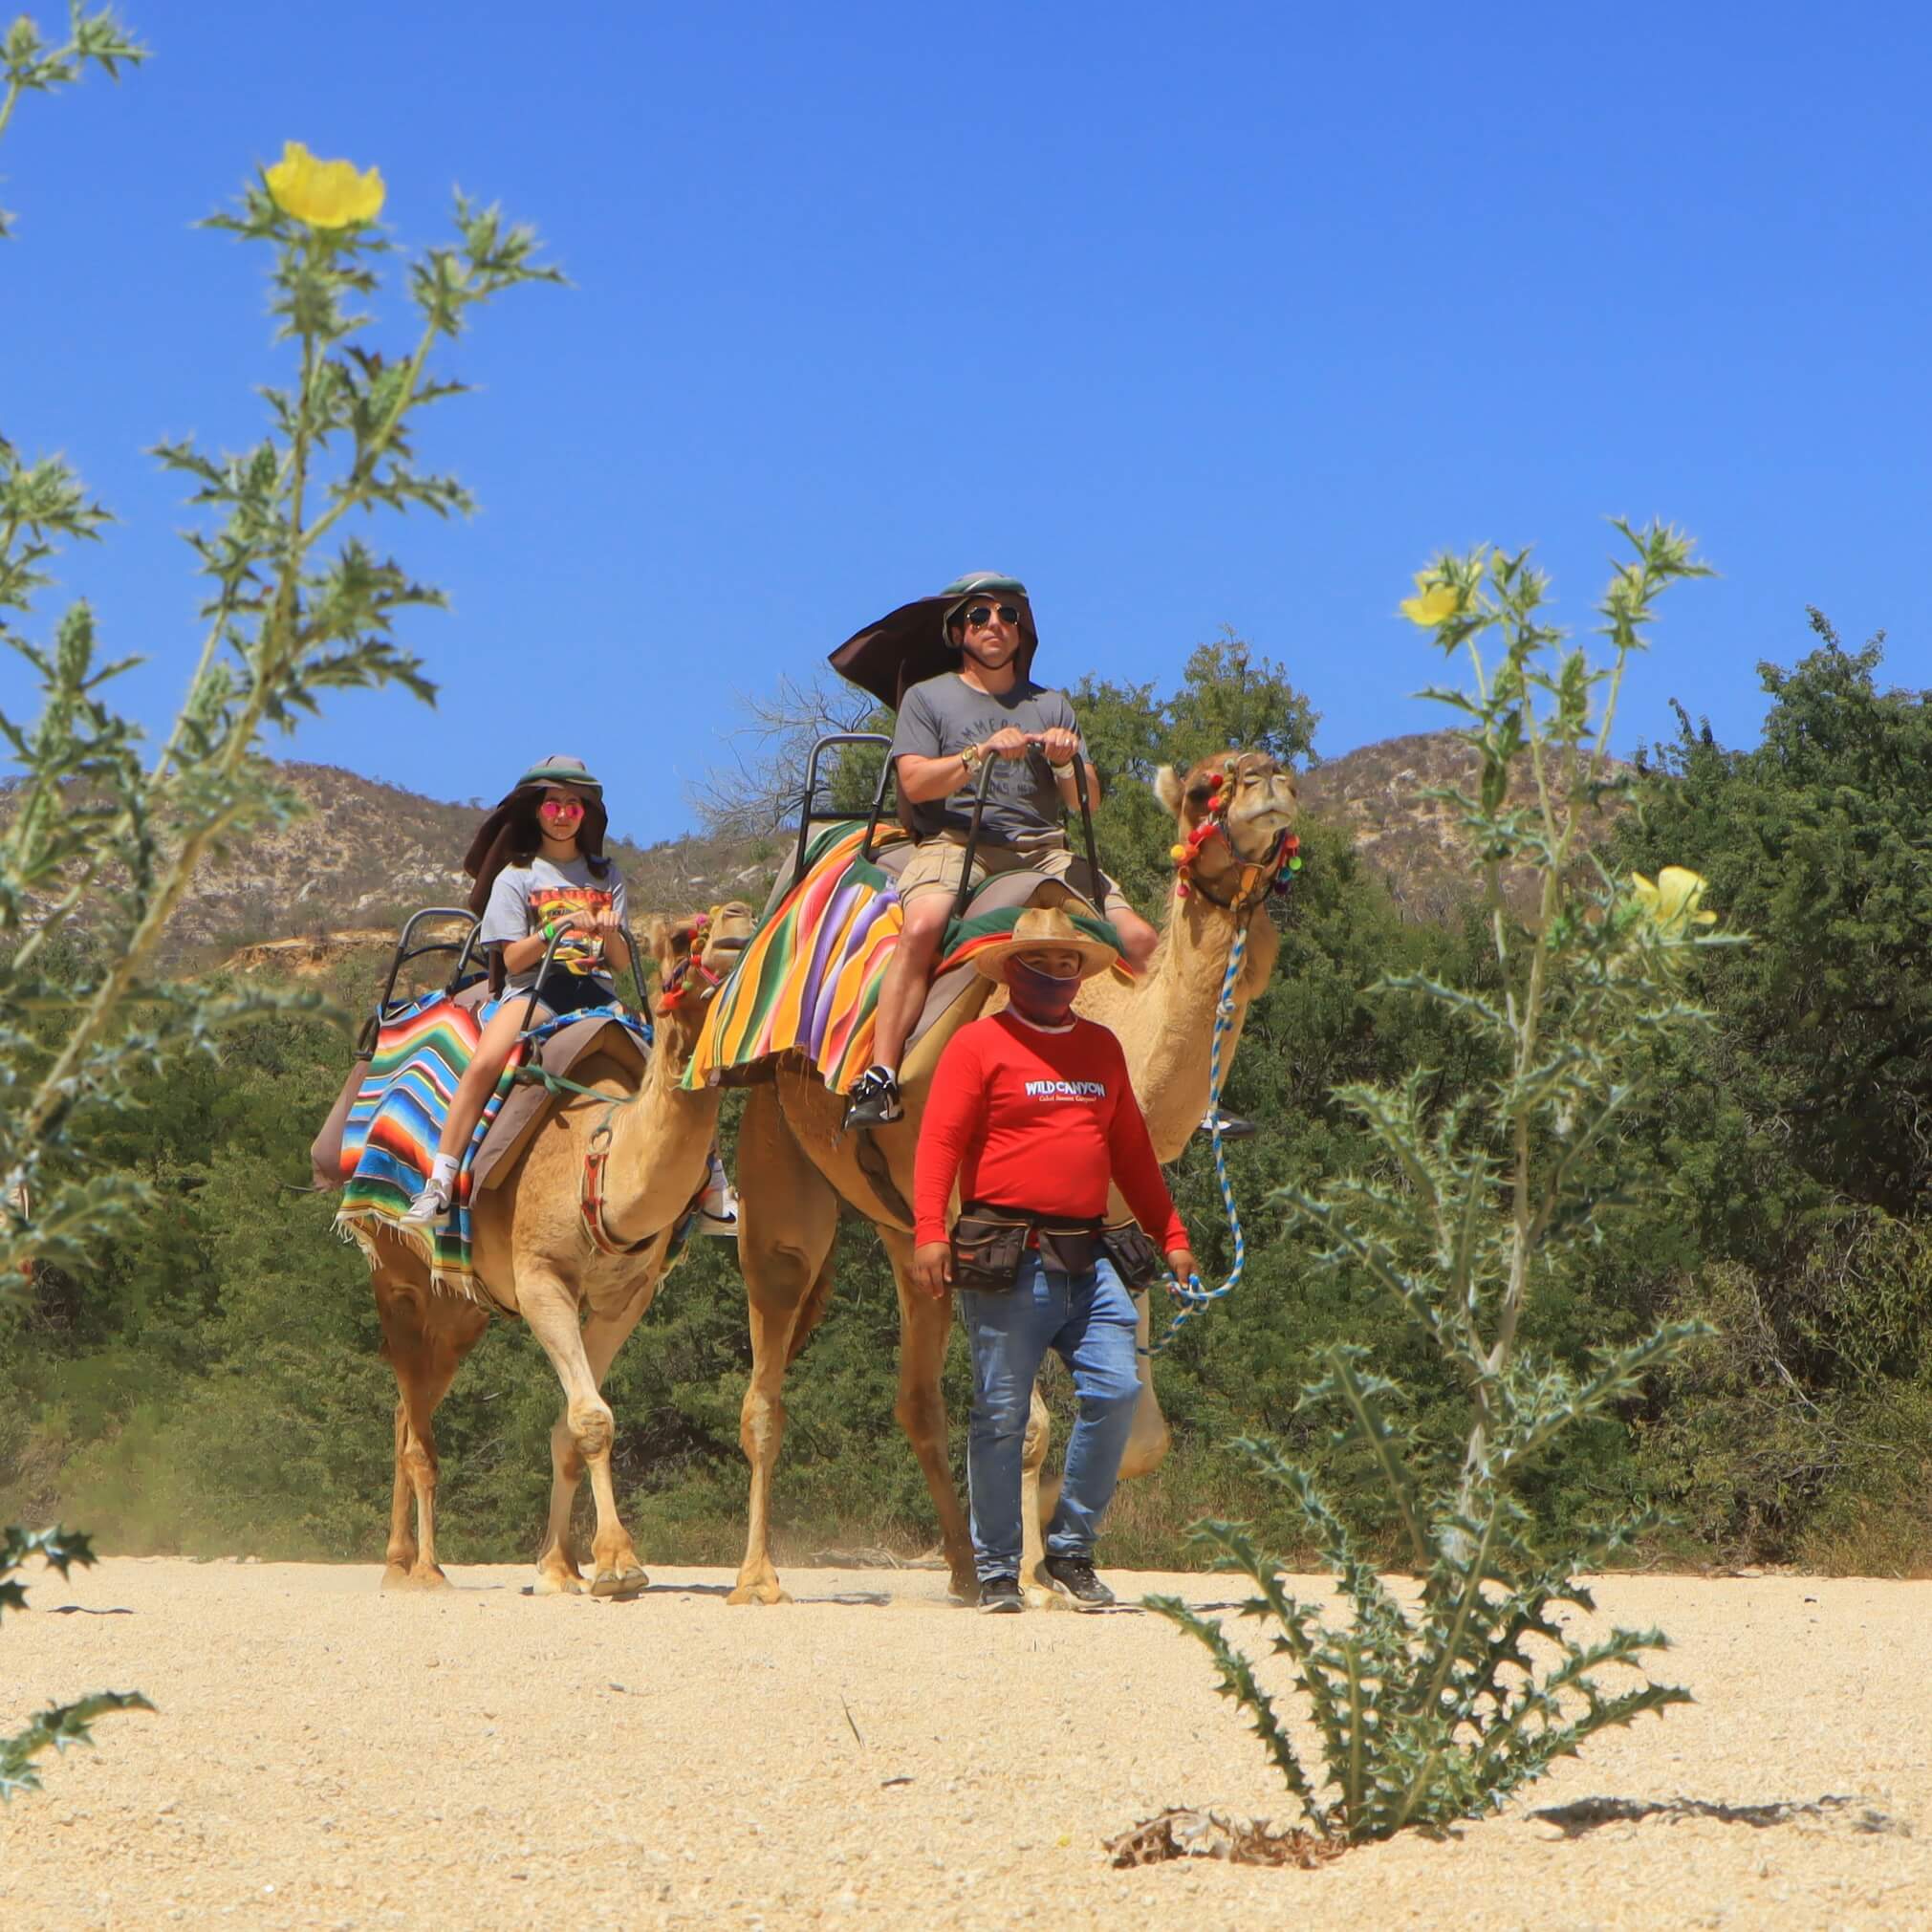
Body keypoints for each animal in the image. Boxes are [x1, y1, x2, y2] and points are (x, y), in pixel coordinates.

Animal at [364, 903, 757, 1599]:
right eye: (681, 937)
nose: (738, 918)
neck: (594, 1159)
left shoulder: (624, 1296)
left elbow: (572, 1425)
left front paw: (561, 1565)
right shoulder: (541, 1278)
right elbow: (593, 1417)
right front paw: (619, 1565)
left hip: (462, 1308)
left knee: (407, 1413)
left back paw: (401, 1559)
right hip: (397, 1276)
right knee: (415, 1425)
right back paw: (423, 1569)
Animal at [726, 746, 1298, 1607]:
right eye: (1205, 789)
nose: (1271, 782)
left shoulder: (1118, 1224)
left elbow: (1142, 1435)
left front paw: (1055, 1553)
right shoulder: (988, 1225)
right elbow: (1024, 1422)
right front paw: (1032, 1571)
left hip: (907, 1232)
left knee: (915, 1397)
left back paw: (963, 1571)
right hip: (777, 1148)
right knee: (769, 1363)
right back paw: (757, 1578)